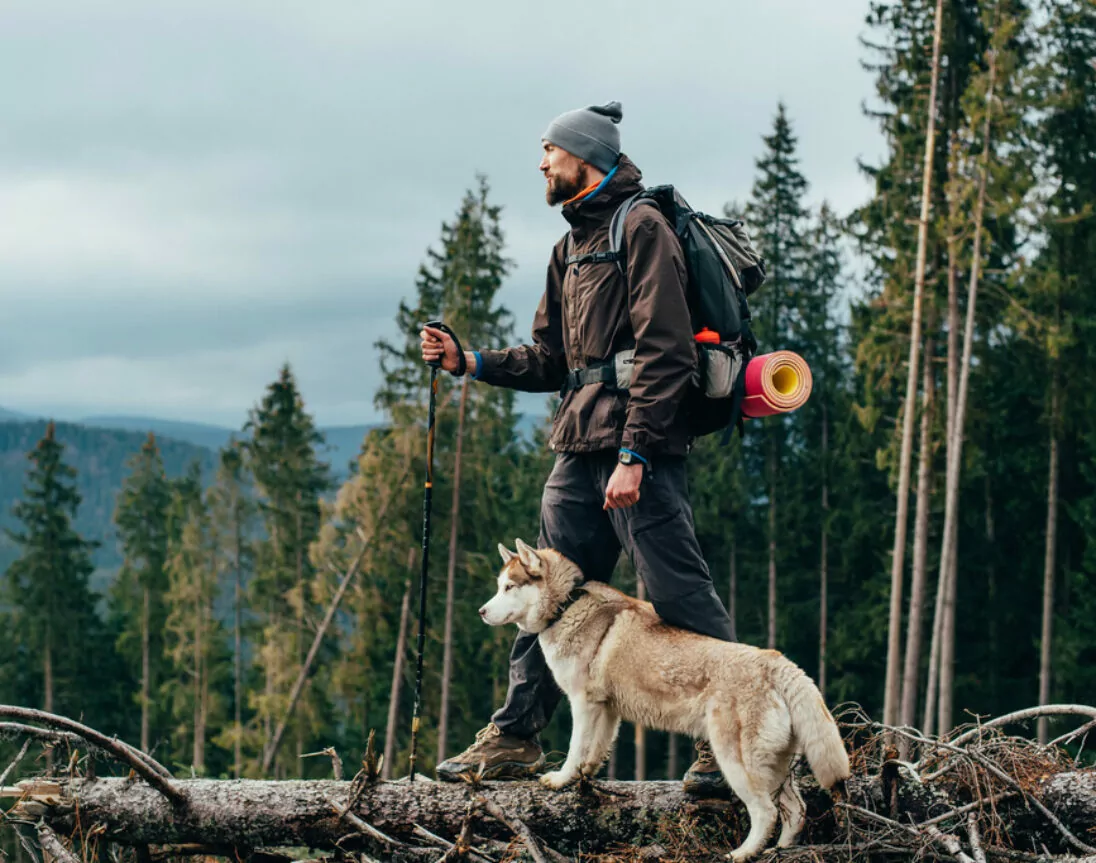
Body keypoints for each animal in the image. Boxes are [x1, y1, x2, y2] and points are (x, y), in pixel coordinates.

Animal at [480, 539, 846, 855]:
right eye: (499, 586)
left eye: (509, 587)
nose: (482, 611)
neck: (566, 605)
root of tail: (776, 661)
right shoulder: (606, 709)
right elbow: (596, 750)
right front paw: (587, 776)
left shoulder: (582, 703)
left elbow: (574, 749)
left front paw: (561, 780)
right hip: (776, 769)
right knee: (796, 810)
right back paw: (781, 849)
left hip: (738, 764)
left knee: (765, 812)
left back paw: (742, 854)